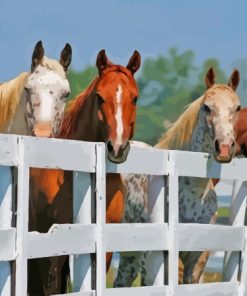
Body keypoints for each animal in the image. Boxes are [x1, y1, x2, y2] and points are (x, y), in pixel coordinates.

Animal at [114, 67, 241, 286]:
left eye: (238, 108)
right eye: (206, 107)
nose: (224, 147)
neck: (192, 192)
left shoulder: (197, 257)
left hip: (131, 255)